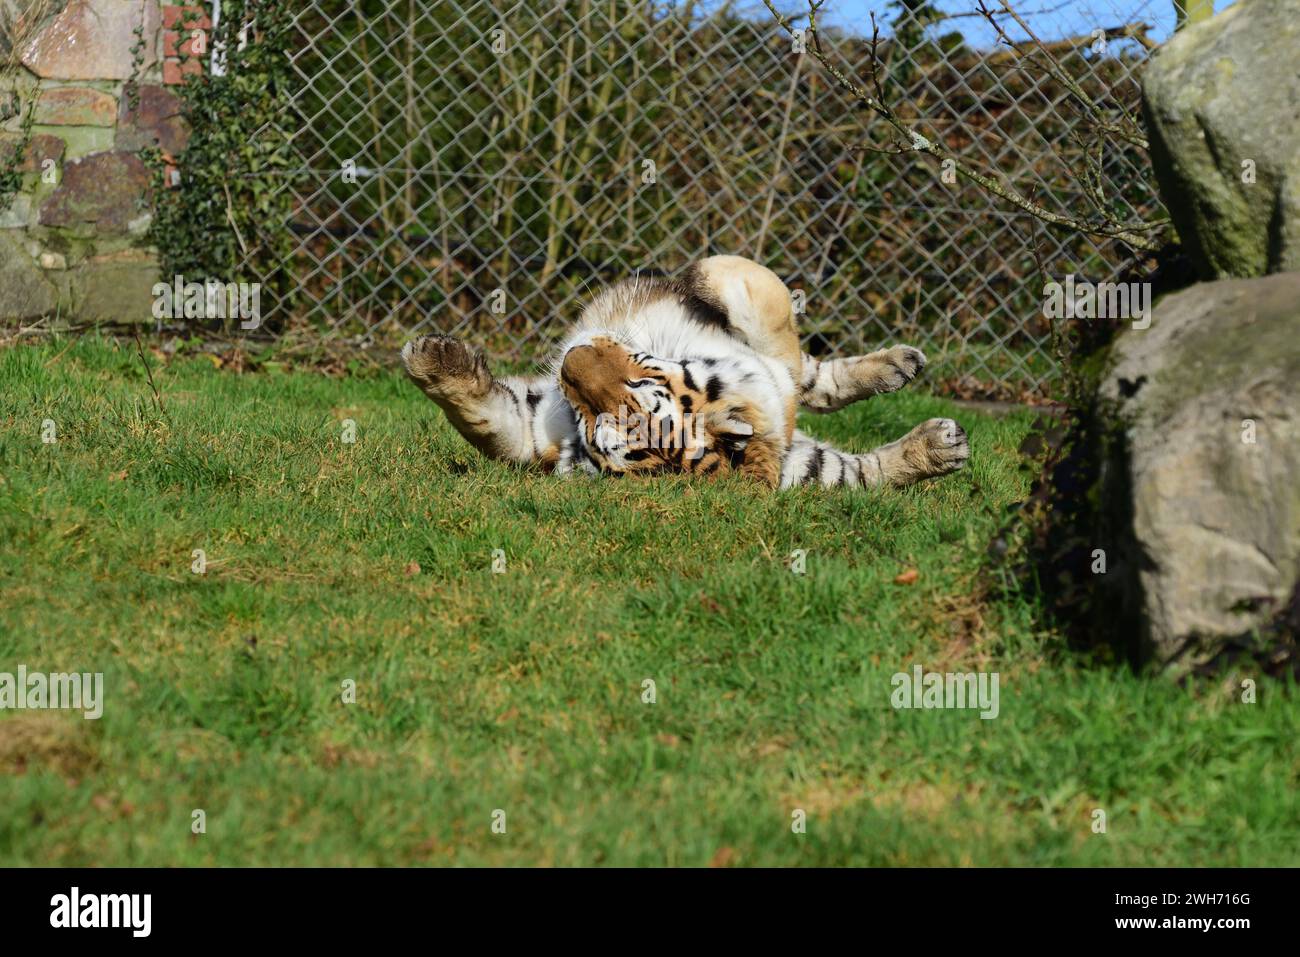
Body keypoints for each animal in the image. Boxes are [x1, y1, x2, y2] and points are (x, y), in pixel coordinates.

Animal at [401, 255, 969, 489]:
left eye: (640, 383)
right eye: (594, 418)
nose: (571, 359)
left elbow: (765, 313)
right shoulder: (541, 425)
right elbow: (490, 422)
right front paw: (428, 356)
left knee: (813, 380)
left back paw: (907, 374)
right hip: (802, 466)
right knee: (861, 471)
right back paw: (941, 446)